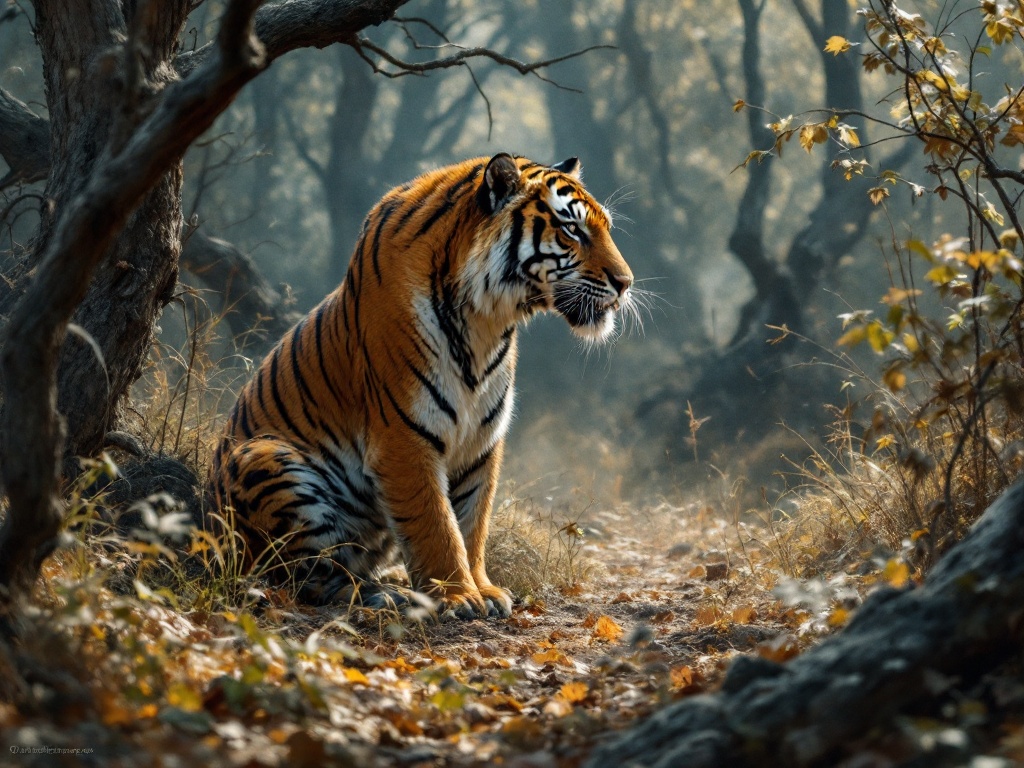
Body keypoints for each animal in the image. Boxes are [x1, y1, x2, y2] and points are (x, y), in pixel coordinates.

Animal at [209, 153, 634, 617]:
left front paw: (484, 589)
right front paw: (457, 595)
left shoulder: (482, 439)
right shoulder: (403, 436)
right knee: (306, 577)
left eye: (606, 227)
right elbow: (436, 523)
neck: (486, 321)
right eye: (572, 229)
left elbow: (472, 521)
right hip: (264, 458)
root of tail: (214, 542)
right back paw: (384, 594)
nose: (626, 283)